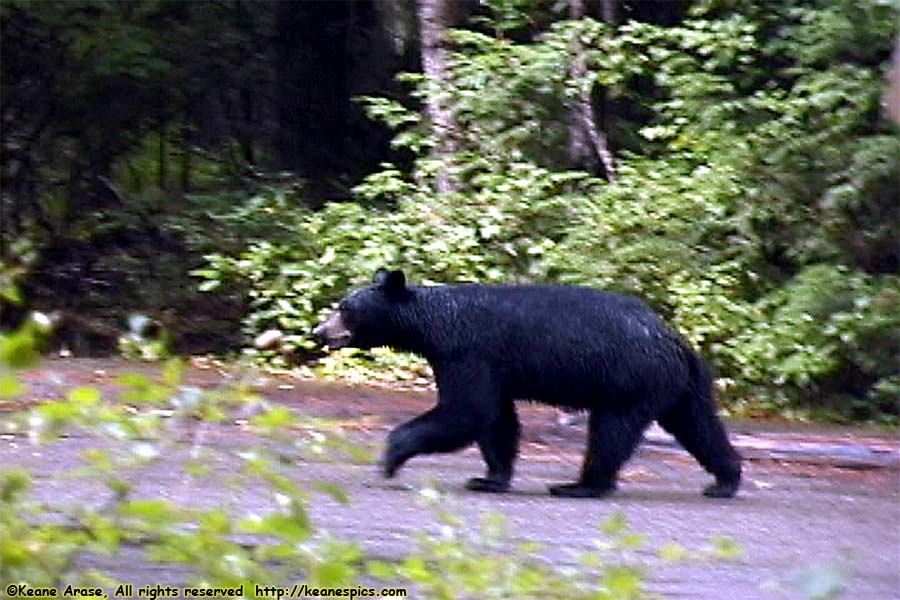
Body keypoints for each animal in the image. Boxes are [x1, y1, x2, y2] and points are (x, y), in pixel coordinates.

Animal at [312, 270, 740, 500]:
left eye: (345, 309)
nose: (319, 331)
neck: (433, 326)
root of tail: (677, 342)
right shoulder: (489, 365)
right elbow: (496, 419)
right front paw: (489, 478)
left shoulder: (468, 352)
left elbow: (466, 411)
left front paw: (391, 455)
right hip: (680, 385)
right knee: (699, 426)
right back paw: (726, 479)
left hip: (629, 380)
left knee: (611, 431)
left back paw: (580, 485)